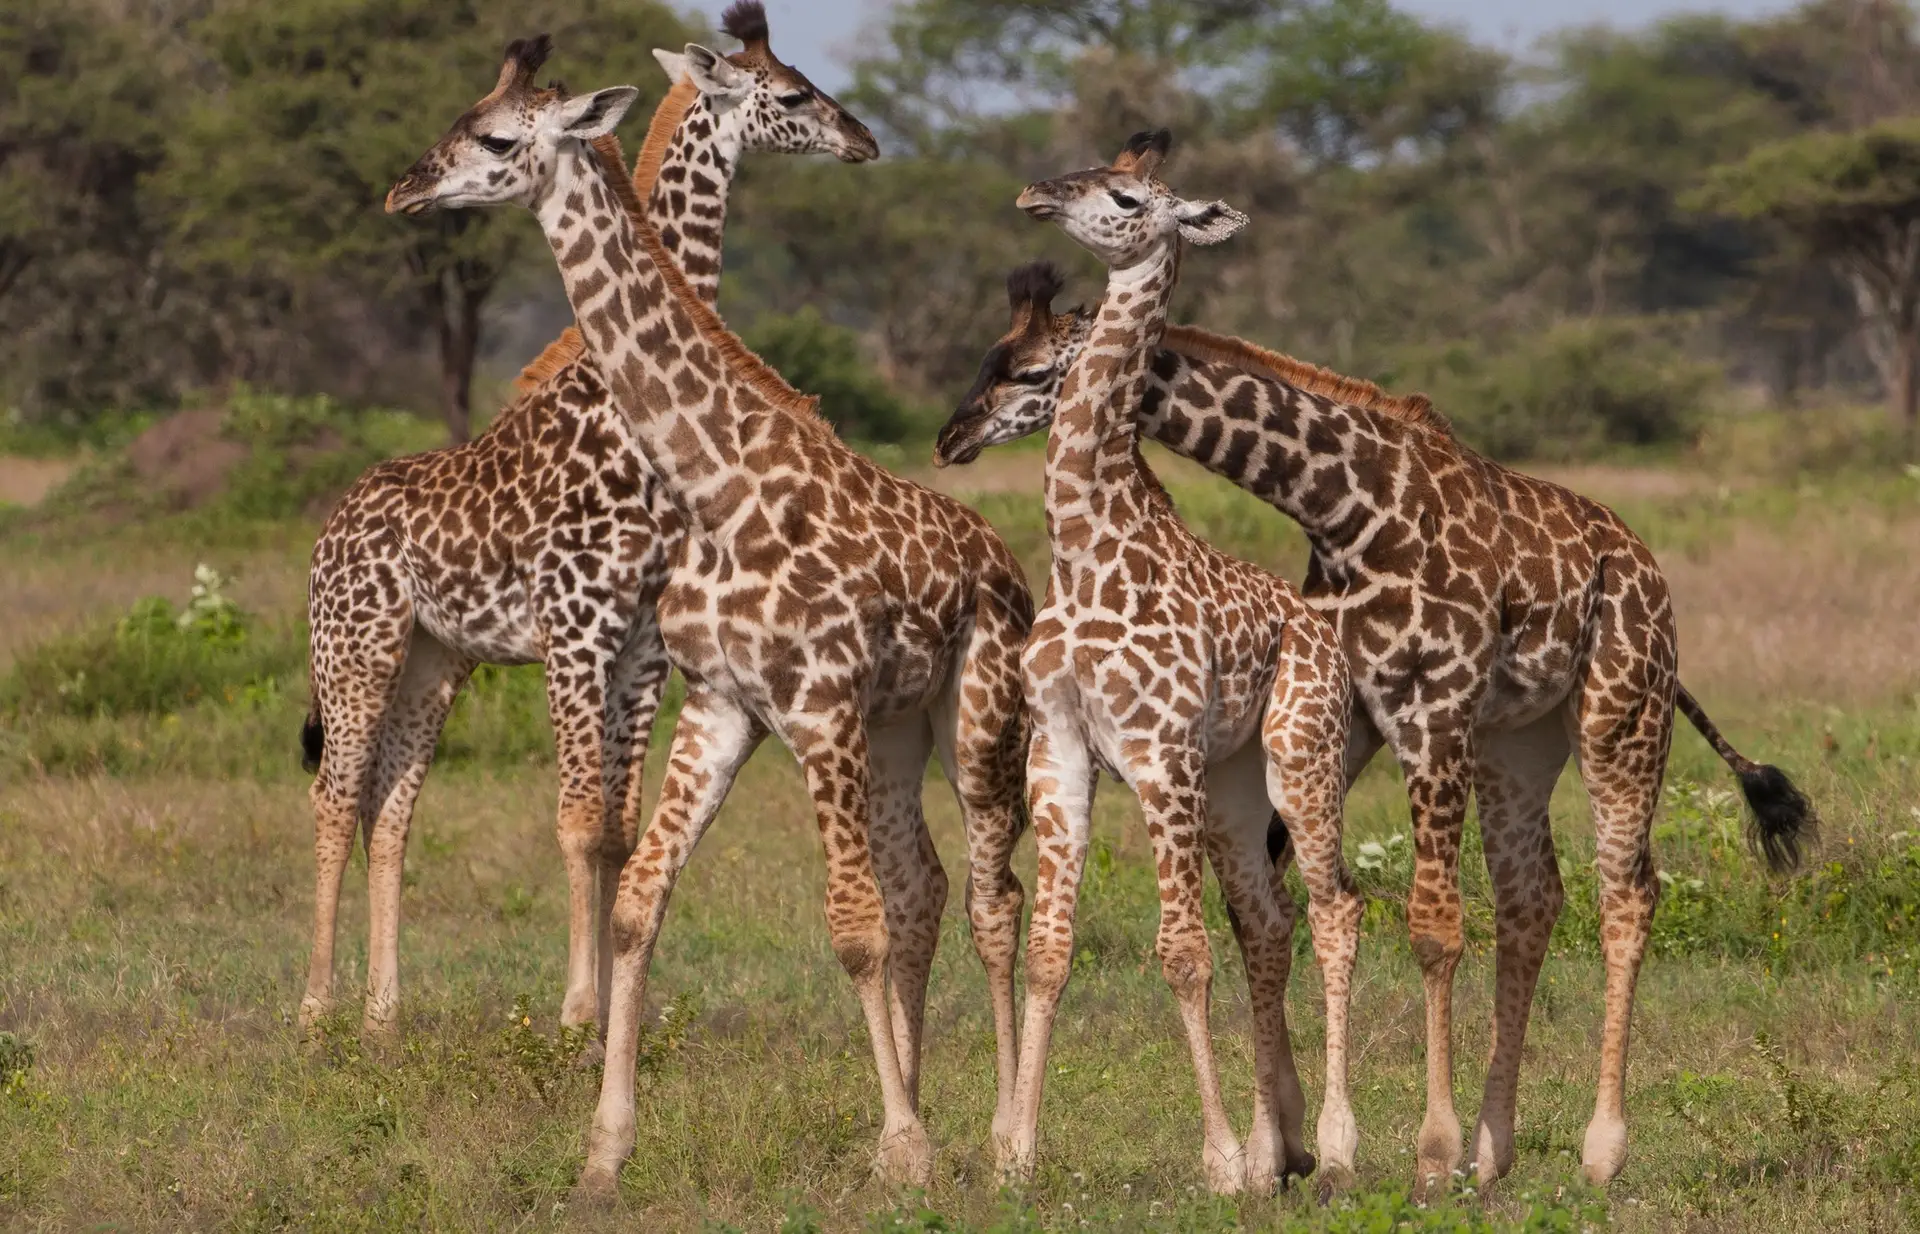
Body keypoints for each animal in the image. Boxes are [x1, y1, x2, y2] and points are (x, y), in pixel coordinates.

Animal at [299, 1, 879, 1042]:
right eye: (789, 95)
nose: (862, 138)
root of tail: (330, 530)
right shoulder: (574, 630)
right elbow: (575, 821)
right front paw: (576, 1016)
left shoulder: (641, 643)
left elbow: (614, 823)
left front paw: (615, 1010)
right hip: (355, 648)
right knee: (334, 798)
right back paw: (317, 1010)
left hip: (434, 659)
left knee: (389, 807)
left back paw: (384, 1014)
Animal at [384, 36, 1032, 1192]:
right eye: (458, 121)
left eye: (497, 140)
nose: (407, 189)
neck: (715, 483)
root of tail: (1007, 564)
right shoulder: (722, 704)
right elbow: (641, 899)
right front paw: (604, 1148)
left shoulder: (812, 705)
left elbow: (850, 925)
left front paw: (903, 1144)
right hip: (897, 727)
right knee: (926, 887)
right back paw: (940, 1113)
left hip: (977, 716)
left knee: (994, 901)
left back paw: (1005, 1142)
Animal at [936, 268, 1818, 1192]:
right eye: (989, 356)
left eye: (1030, 371)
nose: (951, 436)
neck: (1342, 505)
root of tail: (1648, 569)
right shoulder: (1343, 715)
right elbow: (1273, 907)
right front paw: (1281, 1142)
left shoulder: (1432, 707)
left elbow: (1428, 925)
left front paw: (1424, 1150)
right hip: (1515, 745)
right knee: (1532, 898)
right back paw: (1494, 1148)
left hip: (1621, 718)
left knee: (1627, 893)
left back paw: (1597, 1148)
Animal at [995, 129, 1360, 1196]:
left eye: (1125, 197)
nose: (1035, 191)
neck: (1085, 550)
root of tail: (1321, 629)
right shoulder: (1059, 749)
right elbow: (1051, 949)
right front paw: (1015, 1153)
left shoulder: (1159, 755)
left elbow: (1182, 952)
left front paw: (1220, 1162)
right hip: (1234, 786)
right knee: (1270, 923)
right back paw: (1283, 1147)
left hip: (1300, 756)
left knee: (1338, 909)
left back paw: (1341, 1145)